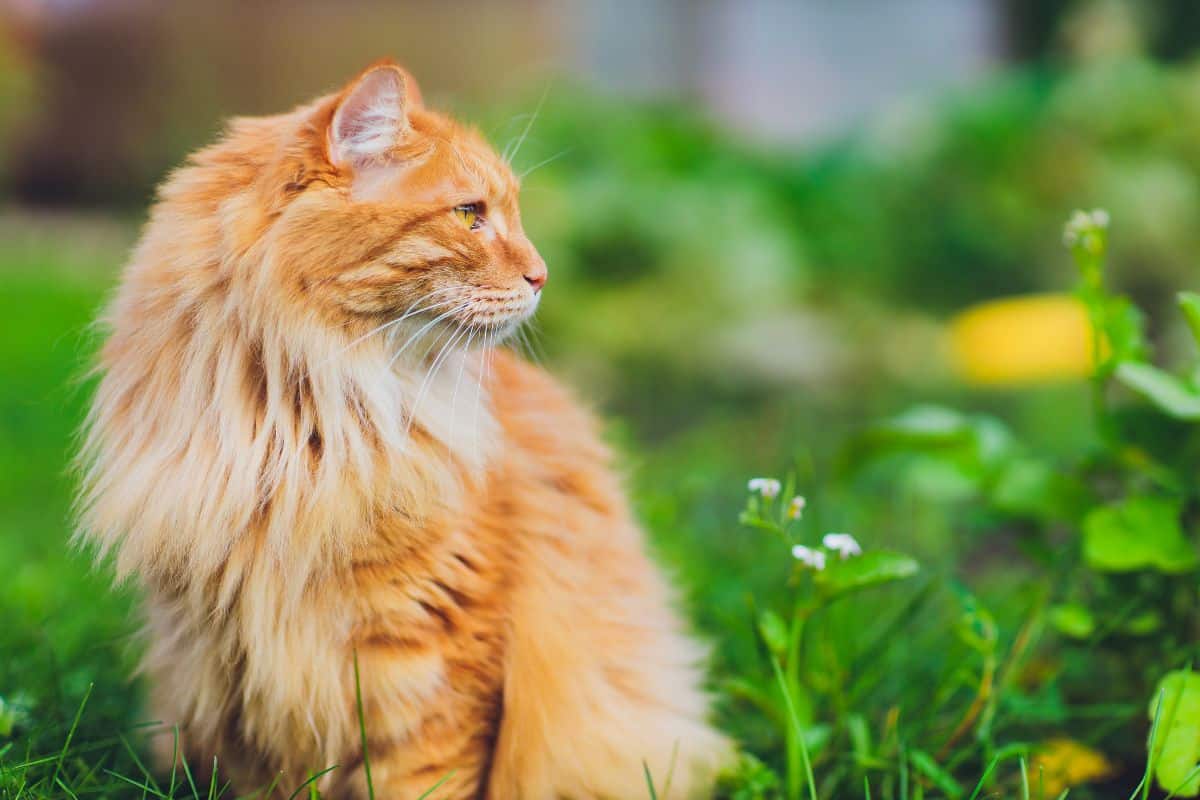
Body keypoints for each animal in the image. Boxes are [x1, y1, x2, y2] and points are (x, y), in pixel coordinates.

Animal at [77, 59, 729, 796]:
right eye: (470, 216)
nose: (543, 276)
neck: (305, 426)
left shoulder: (435, 663)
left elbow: (422, 776)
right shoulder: (233, 666)